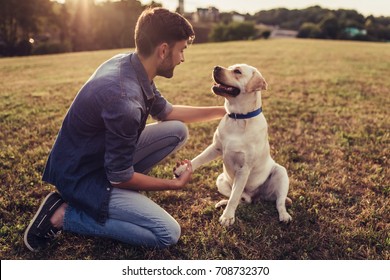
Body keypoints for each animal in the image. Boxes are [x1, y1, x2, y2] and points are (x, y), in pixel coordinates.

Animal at [175, 63, 290, 225]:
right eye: (230, 67)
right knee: (242, 198)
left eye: (237, 71)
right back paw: (224, 202)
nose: (216, 67)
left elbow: (235, 197)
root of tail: (257, 197)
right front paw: (183, 169)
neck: (238, 118)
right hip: (220, 180)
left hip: (281, 172)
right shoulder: (216, 147)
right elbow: (198, 158)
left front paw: (228, 217)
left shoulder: (244, 169)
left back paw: (284, 215)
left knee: (278, 201)